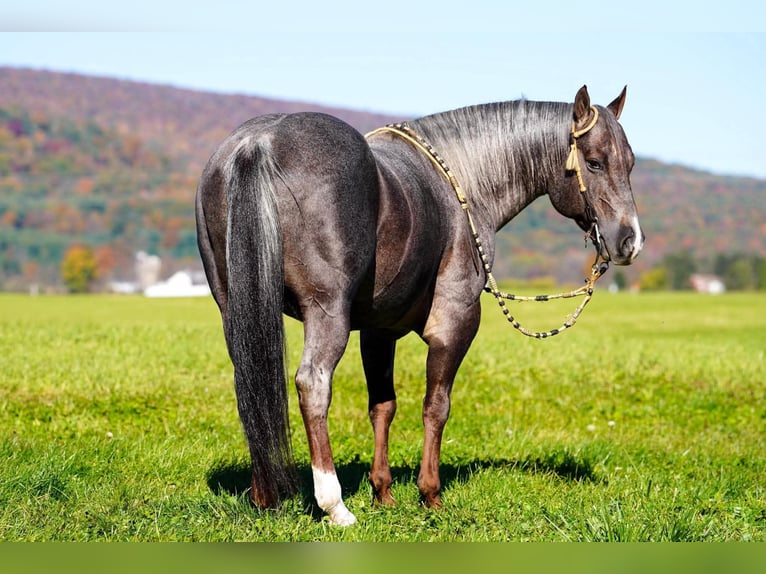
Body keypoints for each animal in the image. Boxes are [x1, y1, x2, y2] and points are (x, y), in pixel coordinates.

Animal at [195, 85, 644, 525]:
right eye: (594, 162)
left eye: (631, 163)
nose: (630, 242)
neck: (463, 184)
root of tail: (258, 143)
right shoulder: (455, 322)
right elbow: (436, 406)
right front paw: (430, 494)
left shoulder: (377, 331)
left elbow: (383, 406)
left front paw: (383, 493)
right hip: (327, 313)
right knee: (313, 384)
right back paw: (333, 504)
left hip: (235, 312)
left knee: (250, 384)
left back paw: (265, 496)